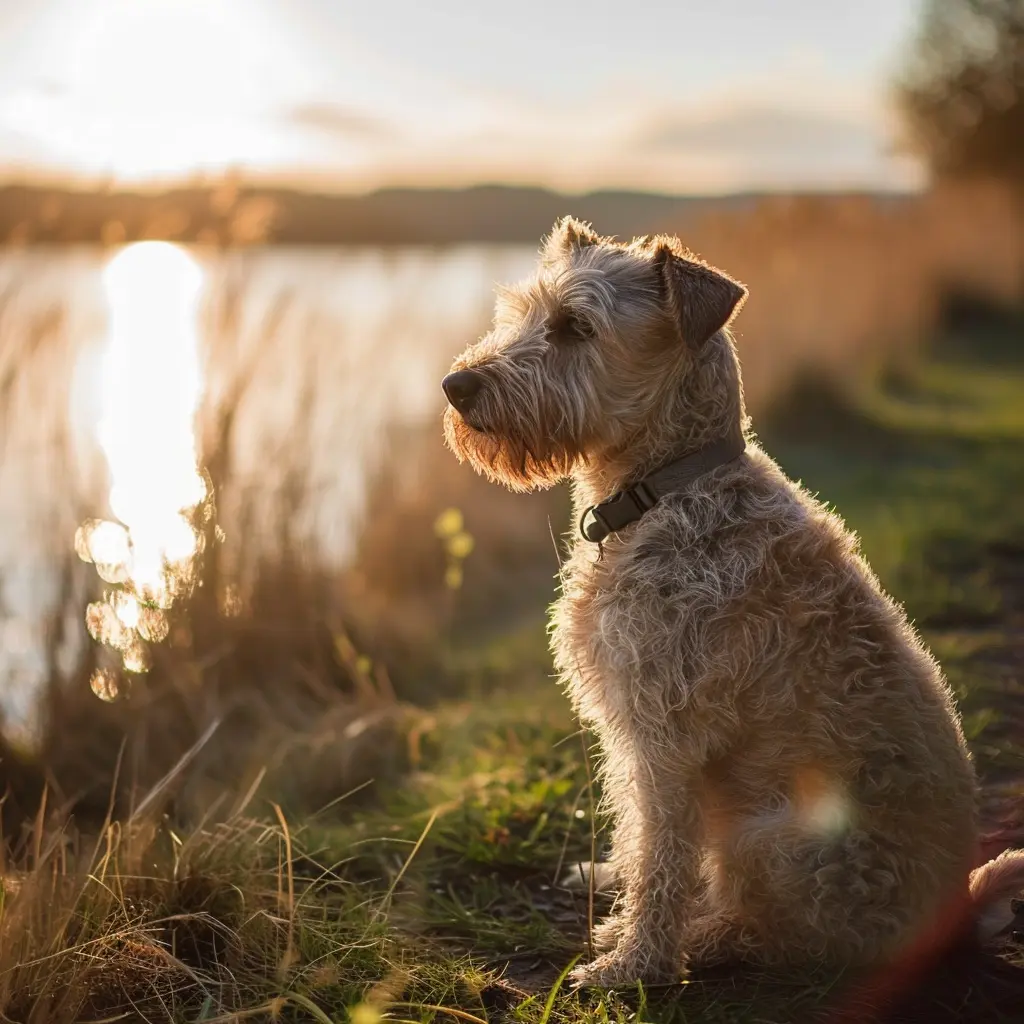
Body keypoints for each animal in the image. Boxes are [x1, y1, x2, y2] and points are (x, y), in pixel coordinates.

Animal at [440, 218, 1024, 983]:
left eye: (575, 326)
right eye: (522, 313)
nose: (456, 385)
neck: (665, 487)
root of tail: (956, 913)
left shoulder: (663, 735)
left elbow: (662, 853)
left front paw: (636, 965)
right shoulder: (635, 734)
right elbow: (639, 839)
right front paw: (621, 924)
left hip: (768, 838)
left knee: (787, 934)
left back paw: (708, 937)